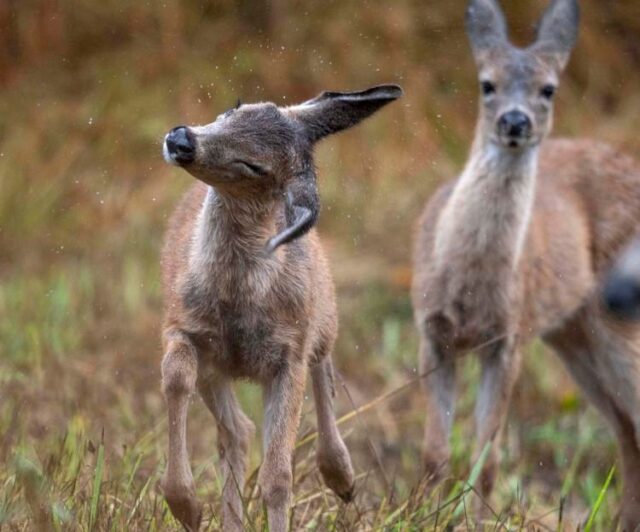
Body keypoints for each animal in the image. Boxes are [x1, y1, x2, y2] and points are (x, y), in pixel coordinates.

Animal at [159, 84, 402, 531]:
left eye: (253, 165)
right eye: (233, 108)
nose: (182, 139)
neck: (236, 302)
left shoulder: (289, 352)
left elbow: (277, 476)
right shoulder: (182, 324)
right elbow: (176, 377)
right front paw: (185, 505)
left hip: (322, 317)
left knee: (323, 369)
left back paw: (342, 477)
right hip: (219, 368)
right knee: (238, 430)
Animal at [411, 0, 640, 527]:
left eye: (548, 89)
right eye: (486, 83)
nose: (514, 122)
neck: (469, 287)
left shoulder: (508, 340)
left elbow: (489, 453)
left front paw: (474, 519)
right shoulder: (432, 333)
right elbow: (434, 451)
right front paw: (422, 513)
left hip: (616, 329)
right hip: (576, 338)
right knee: (627, 430)